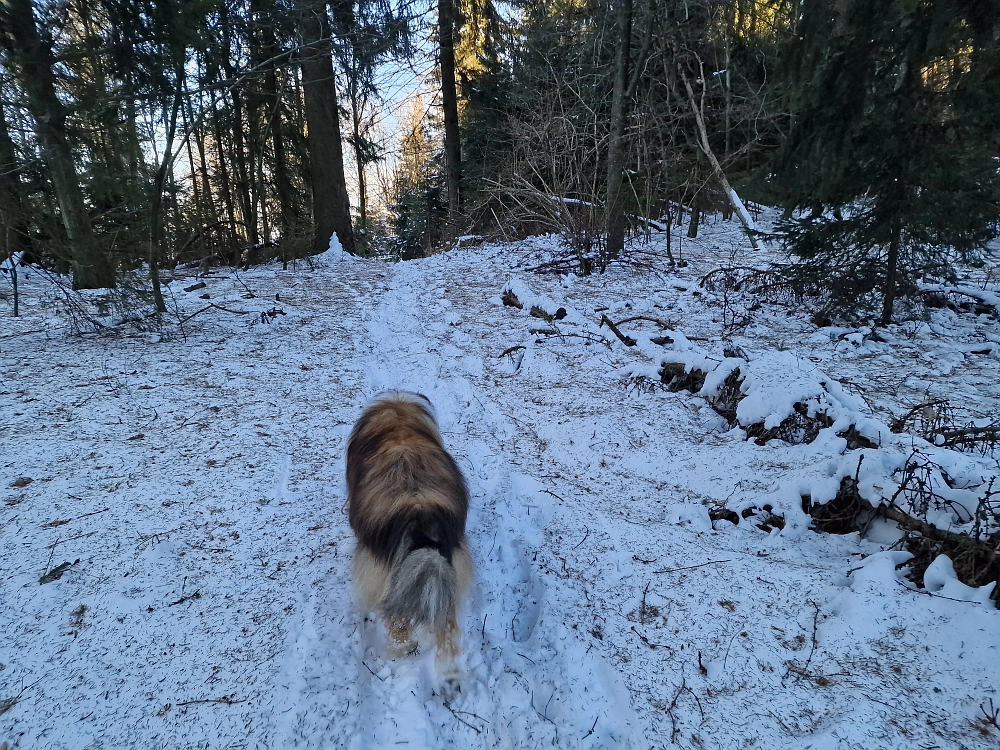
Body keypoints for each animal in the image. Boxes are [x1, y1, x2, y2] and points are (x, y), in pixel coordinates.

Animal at [346, 394, 474, 680]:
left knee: (397, 620)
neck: (399, 427)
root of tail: (420, 515)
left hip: (386, 575)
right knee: (447, 624)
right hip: (448, 573)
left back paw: (401, 651)